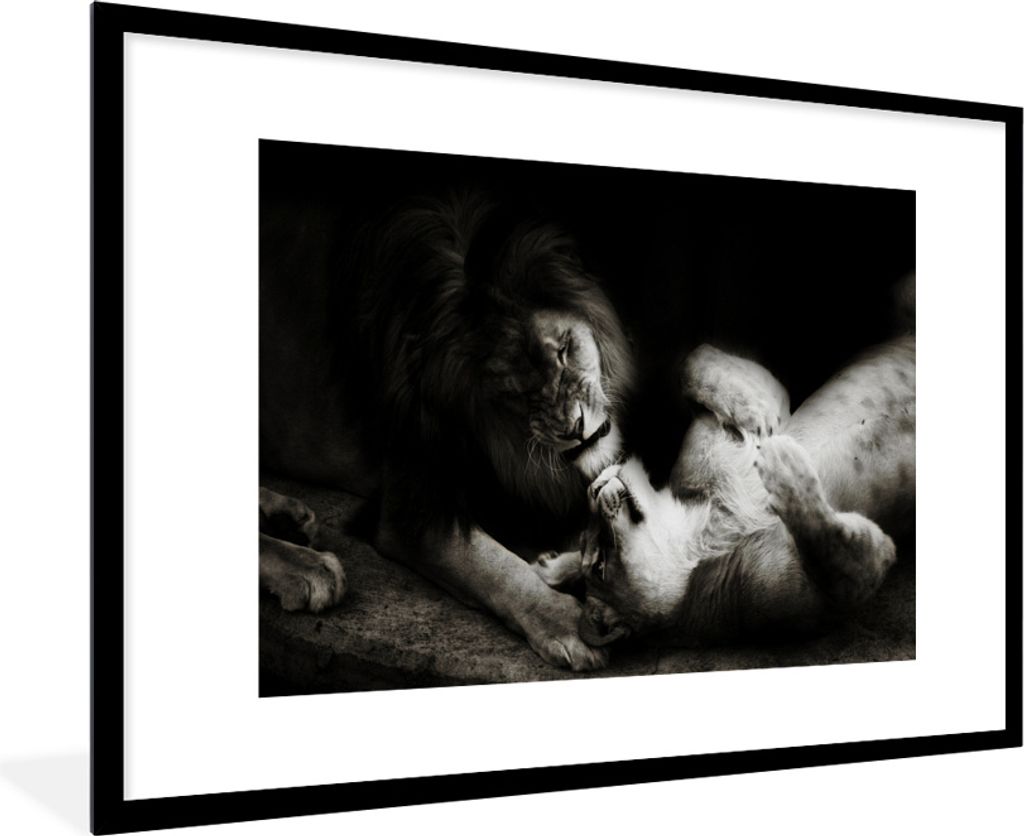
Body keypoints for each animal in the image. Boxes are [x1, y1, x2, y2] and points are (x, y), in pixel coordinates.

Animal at [259, 192, 633, 670]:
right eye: (515, 390)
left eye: (565, 350)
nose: (575, 429)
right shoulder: (412, 508)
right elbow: (495, 565)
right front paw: (569, 623)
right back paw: (306, 567)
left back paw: (288, 516)